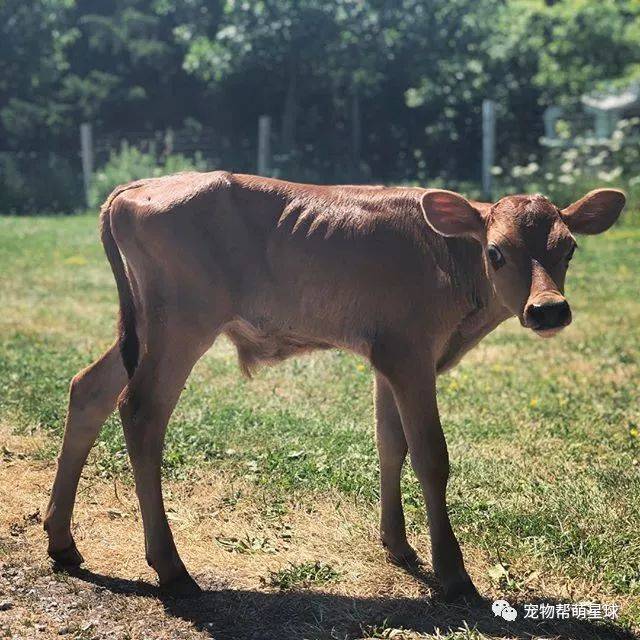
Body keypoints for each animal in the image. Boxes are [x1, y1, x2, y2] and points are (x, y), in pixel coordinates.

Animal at [43, 174, 624, 600]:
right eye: (497, 252)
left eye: (570, 249)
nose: (548, 310)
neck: (450, 263)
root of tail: (136, 187)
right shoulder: (410, 354)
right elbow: (431, 456)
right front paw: (453, 573)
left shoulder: (389, 358)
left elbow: (391, 444)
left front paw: (398, 545)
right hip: (180, 325)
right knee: (141, 411)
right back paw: (172, 569)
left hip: (142, 330)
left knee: (88, 390)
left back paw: (63, 542)